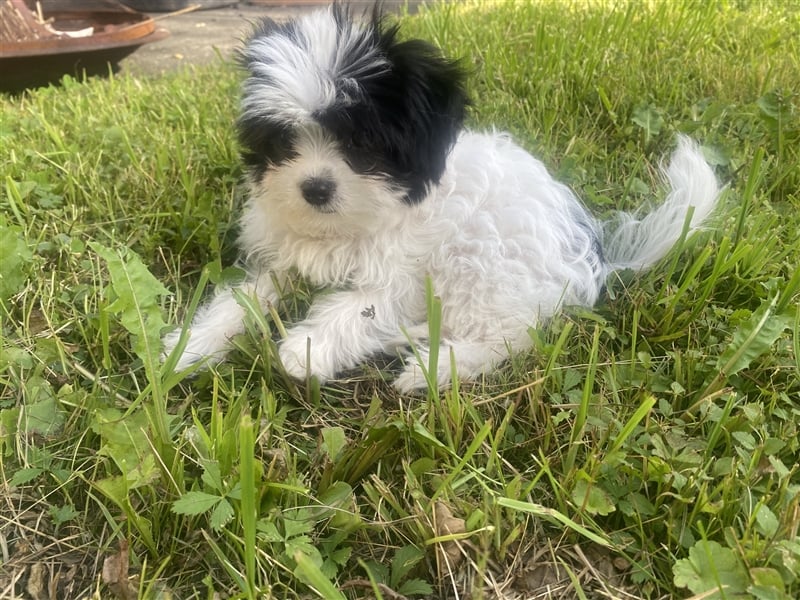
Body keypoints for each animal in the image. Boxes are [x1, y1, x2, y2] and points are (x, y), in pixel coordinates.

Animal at [161, 7, 720, 392]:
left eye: (361, 145)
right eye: (283, 142)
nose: (315, 188)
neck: (353, 222)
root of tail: (594, 256)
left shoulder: (404, 274)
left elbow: (363, 305)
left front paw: (305, 349)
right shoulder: (281, 260)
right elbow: (244, 298)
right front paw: (189, 348)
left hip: (483, 261)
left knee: (509, 335)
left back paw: (431, 369)